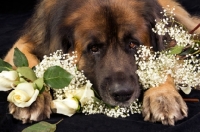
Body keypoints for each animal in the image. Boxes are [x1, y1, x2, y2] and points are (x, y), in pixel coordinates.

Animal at [3, 0, 200, 125]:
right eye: (94, 48)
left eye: (133, 44)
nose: (122, 94)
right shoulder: (26, 42)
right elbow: (28, 65)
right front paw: (33, 97)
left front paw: (163, 96)